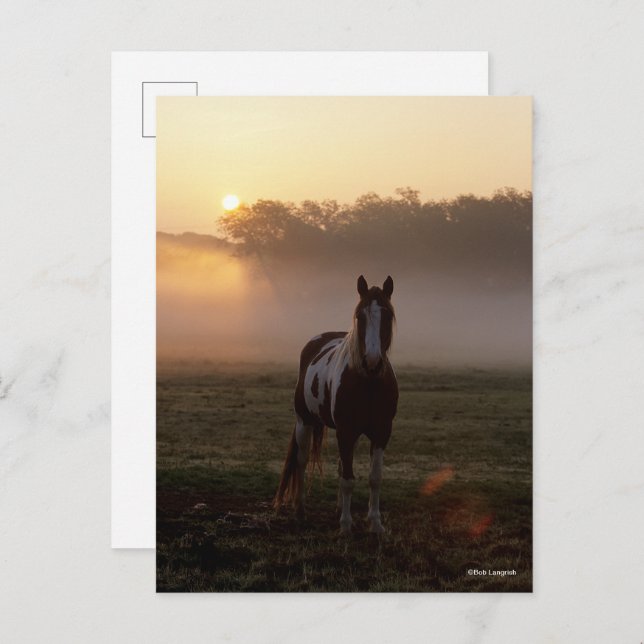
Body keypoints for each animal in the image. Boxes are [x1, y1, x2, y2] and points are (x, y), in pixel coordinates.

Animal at [274, 275, 398, 534]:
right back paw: (300, 511)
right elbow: (348, 479)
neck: (368, 382)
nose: (372, 362)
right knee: (301, 462)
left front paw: (375, 523)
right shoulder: (346, 431)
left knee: (341, 466)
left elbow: (374, 478)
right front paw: (346, 526)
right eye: (360, 316)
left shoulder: (381, 432)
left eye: (388, 315)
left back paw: (339, 509)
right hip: (304, 422)